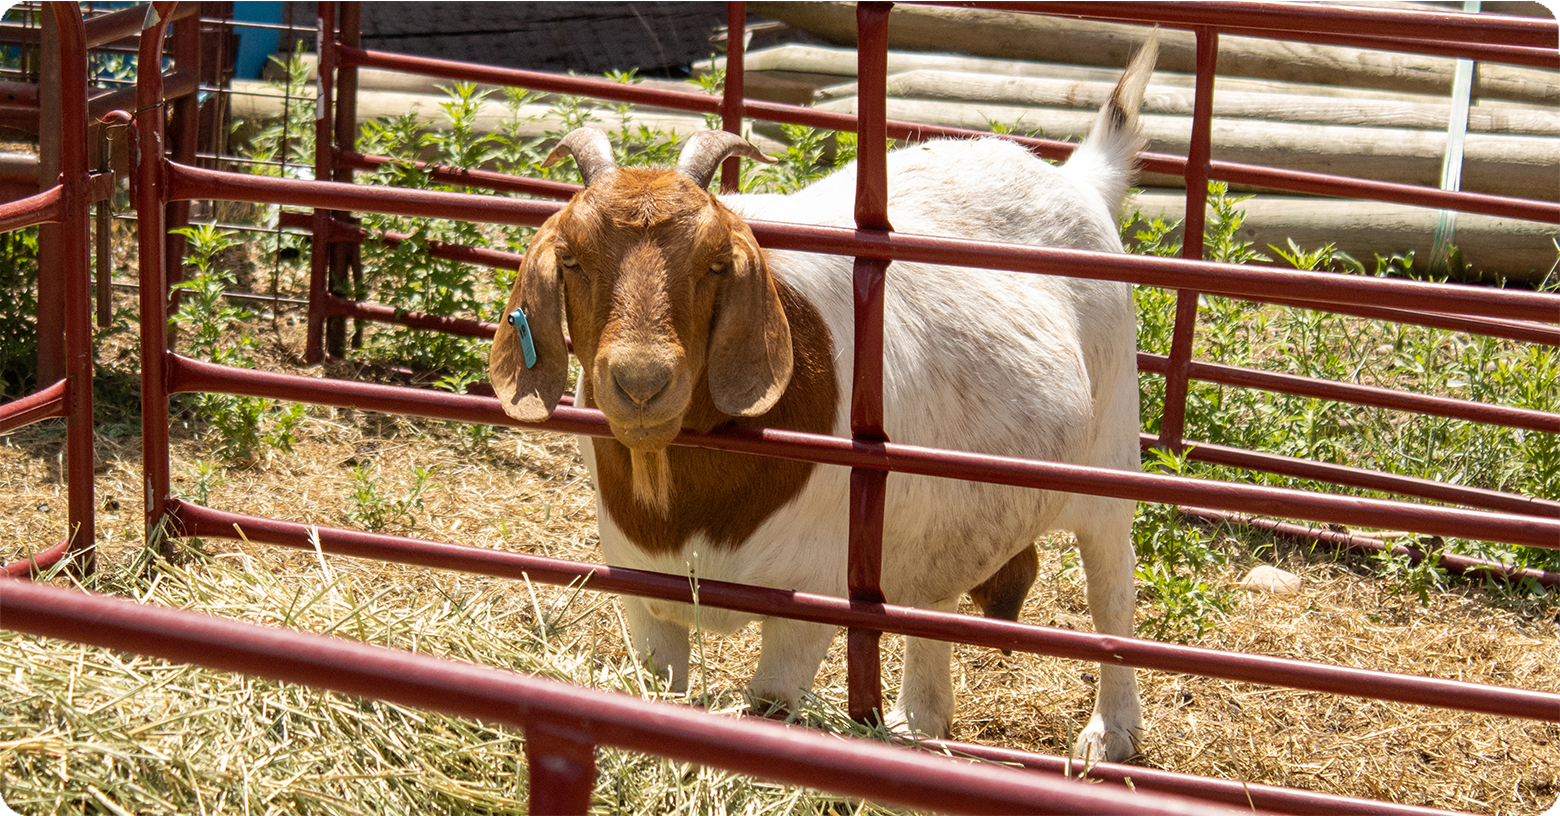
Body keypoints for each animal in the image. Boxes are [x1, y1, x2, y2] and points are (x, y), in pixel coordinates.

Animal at [489, 31, 1160, 761]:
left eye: (715, 262)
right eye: (573, 259)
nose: (641, 380)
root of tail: (1080, 178)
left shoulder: (808, 599)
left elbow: (772, 706)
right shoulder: (641, 590)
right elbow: (660, 684)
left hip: (1110, 464)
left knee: (1112, 594)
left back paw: (1109, 734)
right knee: (934, 600)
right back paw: (919, 722)